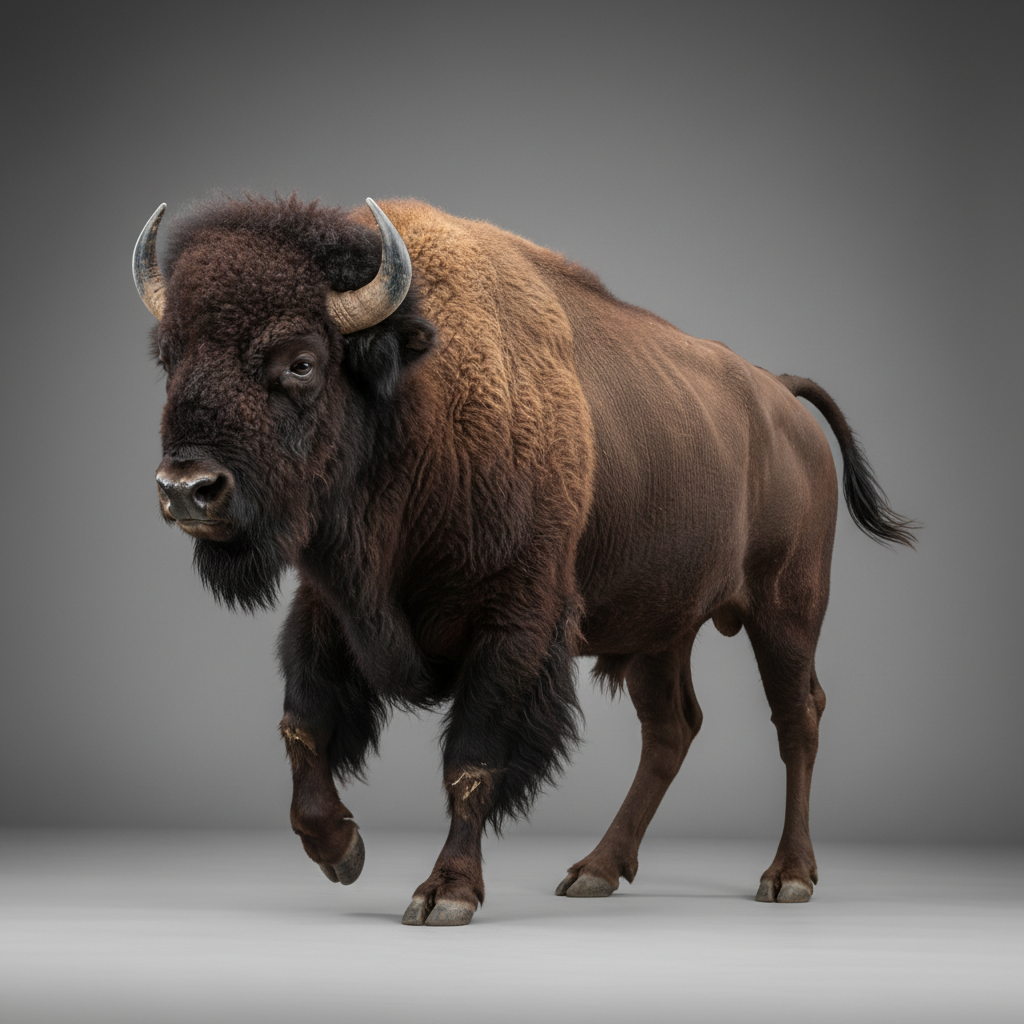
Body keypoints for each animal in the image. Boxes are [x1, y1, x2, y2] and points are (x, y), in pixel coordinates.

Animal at [134, 194, 915, 925]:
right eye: (170, 357)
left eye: (301, 361)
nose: (186, 489)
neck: (416, 399)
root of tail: (779, 395)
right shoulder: (330, 609)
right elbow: (303, 724)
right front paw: (341, 851)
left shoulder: (515, 624)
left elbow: (471, 760)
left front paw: (445, 894)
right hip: (661, 627)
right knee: (672, 728)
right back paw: (597, 870)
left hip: (786, 609)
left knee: (797, 717)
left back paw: (787, 877)